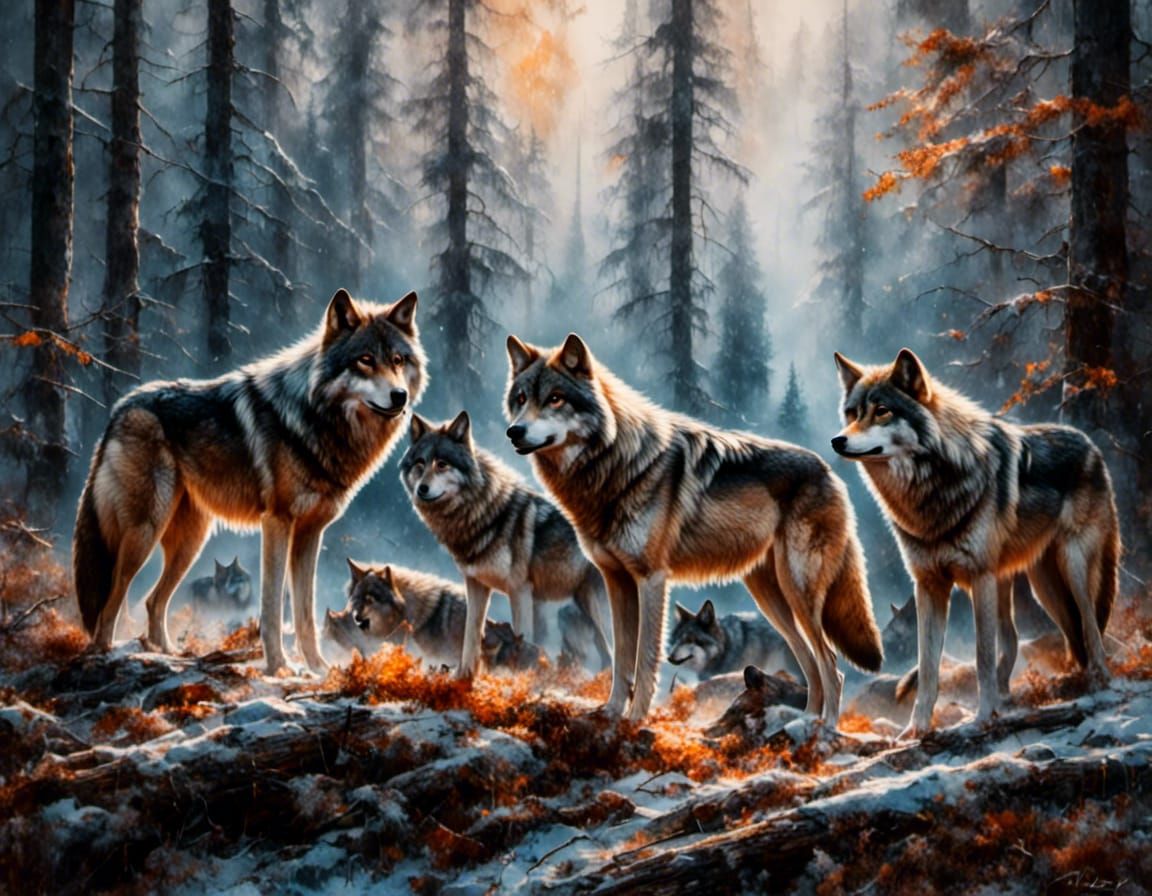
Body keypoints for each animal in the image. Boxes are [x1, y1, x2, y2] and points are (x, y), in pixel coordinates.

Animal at [73, 288, 425, 674]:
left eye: (397, 360)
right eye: (365, 360)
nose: (399, 396)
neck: (315, 418)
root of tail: (119, 408)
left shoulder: (310, 533)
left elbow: (305, 612)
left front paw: (317, 668)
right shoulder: (277, 523)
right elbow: (272, 607)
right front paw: (278, 667)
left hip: (190, 542)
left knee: (153, 601)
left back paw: (167, 653)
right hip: (145, 530)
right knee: (111, 600)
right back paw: (104, 653)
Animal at [399, 411, 612, 678]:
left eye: (442, 464)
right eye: (420, 463)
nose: (422, 489)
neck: (483, 514)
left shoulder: (520, 591)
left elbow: (522, 641)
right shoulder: (476, 584)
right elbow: (471, 637)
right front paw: (463, 678)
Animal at [832, 348, 1120, 736]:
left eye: (882, 410)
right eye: (852, 413)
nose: (838, 440)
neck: (930, 495)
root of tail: (1091, 445)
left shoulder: (979, 577)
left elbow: (982, 655)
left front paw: (983, 717)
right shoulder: (929, 585)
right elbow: (928, 668)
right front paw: (916, 729)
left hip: (1069, 568)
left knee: (1090, 625)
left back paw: (1098, 680)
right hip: (1039, 586)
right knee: (1024, 639)